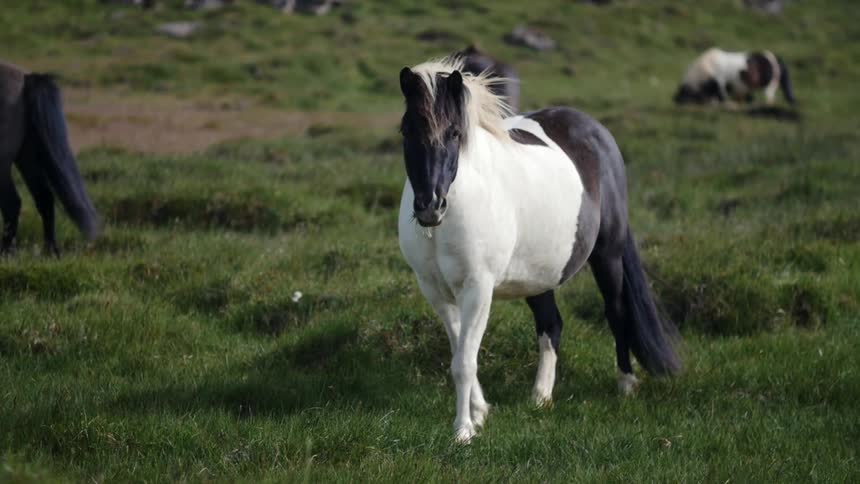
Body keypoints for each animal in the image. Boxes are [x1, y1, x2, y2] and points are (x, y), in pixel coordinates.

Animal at [0, 61, 98, 255]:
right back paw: (51, 251)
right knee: (44, 198)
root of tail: (26, 78)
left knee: (12, 204)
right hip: (27, 157)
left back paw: (7, 252)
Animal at [397, 57, 681, 443]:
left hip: (607, 255)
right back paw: (541, 396)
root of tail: (595, 131)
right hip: (538, 275)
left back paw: (625, 384)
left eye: (454, 133)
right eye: (406, 131)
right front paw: (480, 412)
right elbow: (459, 351)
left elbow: (464, 362)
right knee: (551, 324)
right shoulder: (436, 292)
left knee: (616, 312)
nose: (430, 207)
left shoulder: (478, 289)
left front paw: (464, 431)